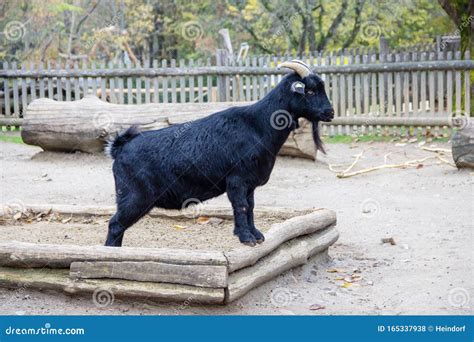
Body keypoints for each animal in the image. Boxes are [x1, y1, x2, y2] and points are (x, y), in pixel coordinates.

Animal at [104, 60, 334, 246]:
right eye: (310, 91)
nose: (330, 113)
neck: (258, 125)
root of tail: (119, 147)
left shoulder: (249, 184)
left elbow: (251, 207)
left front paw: (256, 235)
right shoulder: (237, 180)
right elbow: (241, 207)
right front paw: (246, 238)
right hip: (135, 197)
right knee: (115, 224)